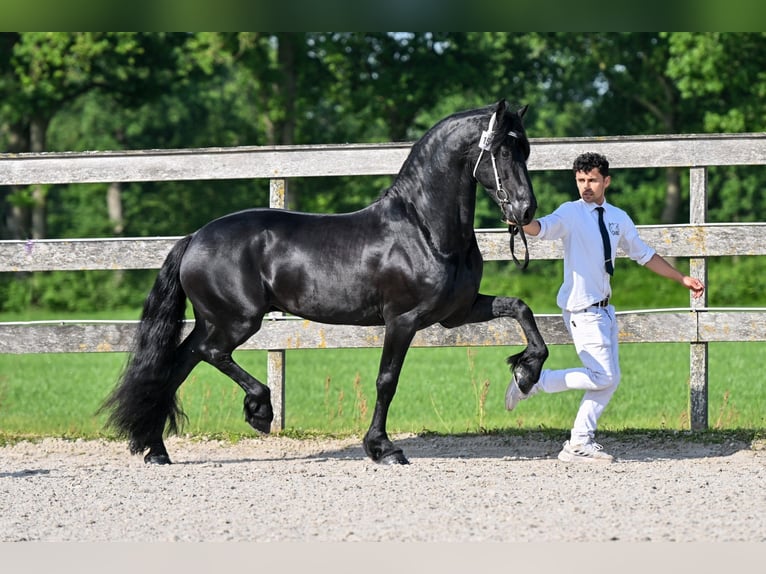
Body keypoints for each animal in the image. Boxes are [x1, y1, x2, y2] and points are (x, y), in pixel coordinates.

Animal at [100, 99, 549, 465]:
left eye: (525, 149)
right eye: (501, 150)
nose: (525, 211)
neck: (424, 230)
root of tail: (194, 238)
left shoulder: (457, 312)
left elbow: (521, 309)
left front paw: (526, 373)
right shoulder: (402, 320)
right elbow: (387, 381)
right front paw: (383, 449)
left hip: (214, 320)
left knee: (178, 365)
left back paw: (157, 450)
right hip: (236, 320)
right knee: (210, 354)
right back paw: (259, 410)